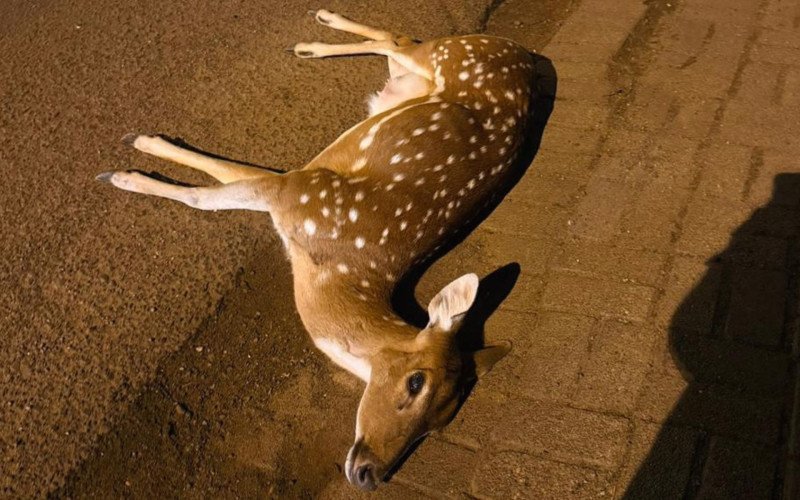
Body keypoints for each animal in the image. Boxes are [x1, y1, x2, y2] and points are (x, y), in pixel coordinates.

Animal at [97, 9, 536, 491]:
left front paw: (132, 163)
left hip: (410, 82)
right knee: (400, 38)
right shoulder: (299, 187)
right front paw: (129, 165)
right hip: (444, 57)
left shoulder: (297, 189)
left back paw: (312, 41)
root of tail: (522, 52)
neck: (324, 267)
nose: (370, 474)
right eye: (415, 382)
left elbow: (220, 181)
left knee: (395, 42)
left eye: (440, 424)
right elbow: (207, 192)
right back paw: (313, 37)